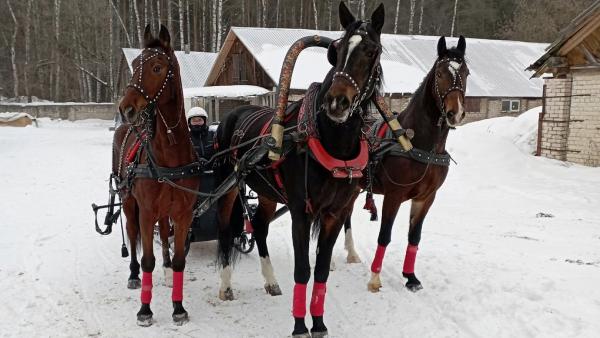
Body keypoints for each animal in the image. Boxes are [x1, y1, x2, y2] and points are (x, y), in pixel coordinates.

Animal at [112, 25, 197, 326]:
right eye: (136, 63)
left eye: (157, 67)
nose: (125, 108)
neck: (170, 154)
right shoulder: (146, 211)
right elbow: (146, 257)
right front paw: (145, 310)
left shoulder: (183, 213)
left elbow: (181, 258)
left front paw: (179, 306)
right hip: (129, 203)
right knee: (132, 233)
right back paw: (134, 274)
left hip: (164, 210)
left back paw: (167, 267)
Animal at [213, 1, 386, 336]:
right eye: (337, 50)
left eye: (372, 50)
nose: (337, 102)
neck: (331, 143)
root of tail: (232, 115)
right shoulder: (300, 211)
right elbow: (303, 270)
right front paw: (298, 326)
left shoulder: (334, 214)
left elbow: (321, 271)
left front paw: (318, 323)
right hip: (228, 187)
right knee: (227, 230)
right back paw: (225, 285)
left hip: (267, 193)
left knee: (260, 227)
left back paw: (270, 281)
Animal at [342, 35, 468, 292]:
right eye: (440, 73)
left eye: (466, 72)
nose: (456, 113)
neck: (420, 144)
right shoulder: (394, 195)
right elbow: (385, 234)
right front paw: (375, 278)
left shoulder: (426, 198)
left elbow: (414, 236)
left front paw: (410, 276)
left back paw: (351, 252)